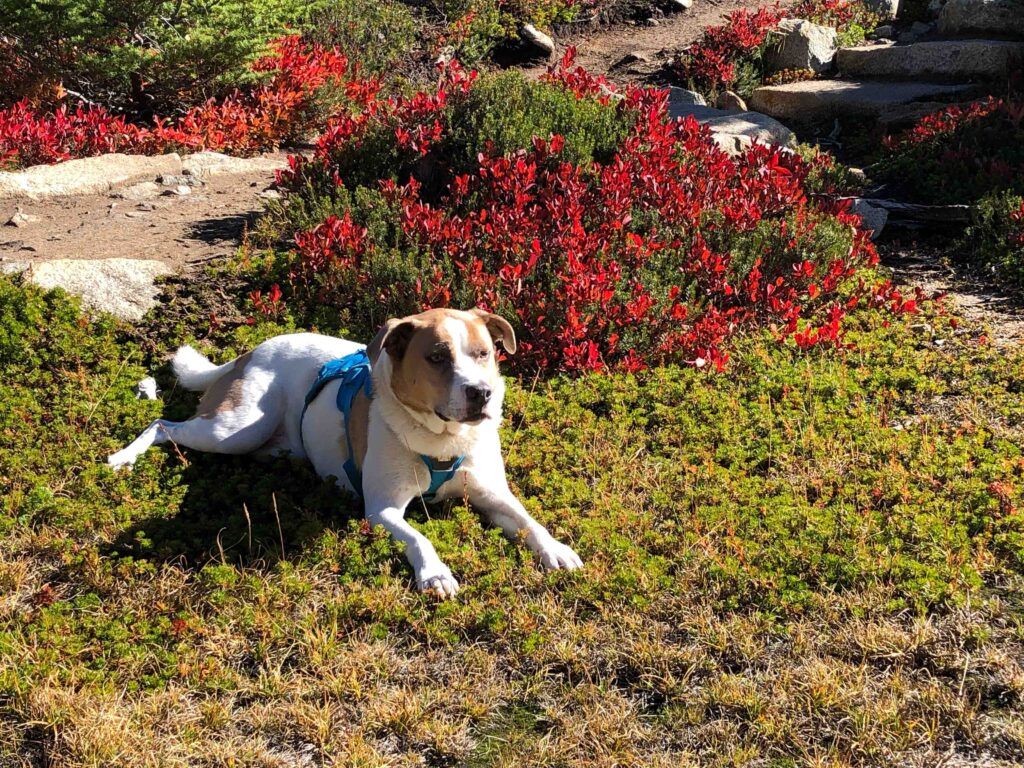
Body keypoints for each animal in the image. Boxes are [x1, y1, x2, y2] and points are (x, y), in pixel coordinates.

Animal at [108, 309, 585, 598]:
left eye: (484, 354)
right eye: (436, 357)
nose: (481, 393)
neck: (443, 439)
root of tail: (250, 351)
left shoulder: (490, 493)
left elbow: (529, 520)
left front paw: (555, 549)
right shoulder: (381, 509)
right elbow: (419, 536)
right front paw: (435, 573)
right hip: (236, 428)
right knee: (163, 425)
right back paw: (124, 457)